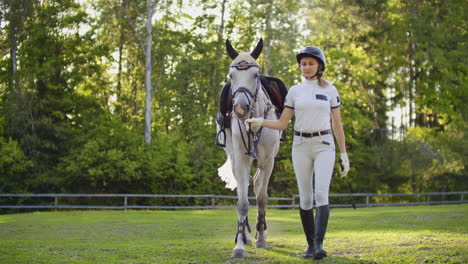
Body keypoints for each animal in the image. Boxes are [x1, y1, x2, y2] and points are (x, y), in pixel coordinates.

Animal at [218, 38, 280, 258]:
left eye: (255, 75)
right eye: (231, 76)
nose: (240, 108)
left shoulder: (268, 162)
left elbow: (262, 198)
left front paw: (261, 237)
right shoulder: (243, 161)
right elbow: (243, 202)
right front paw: (239, 245)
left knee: (258, 185)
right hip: (235, 159)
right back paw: (244, 235)